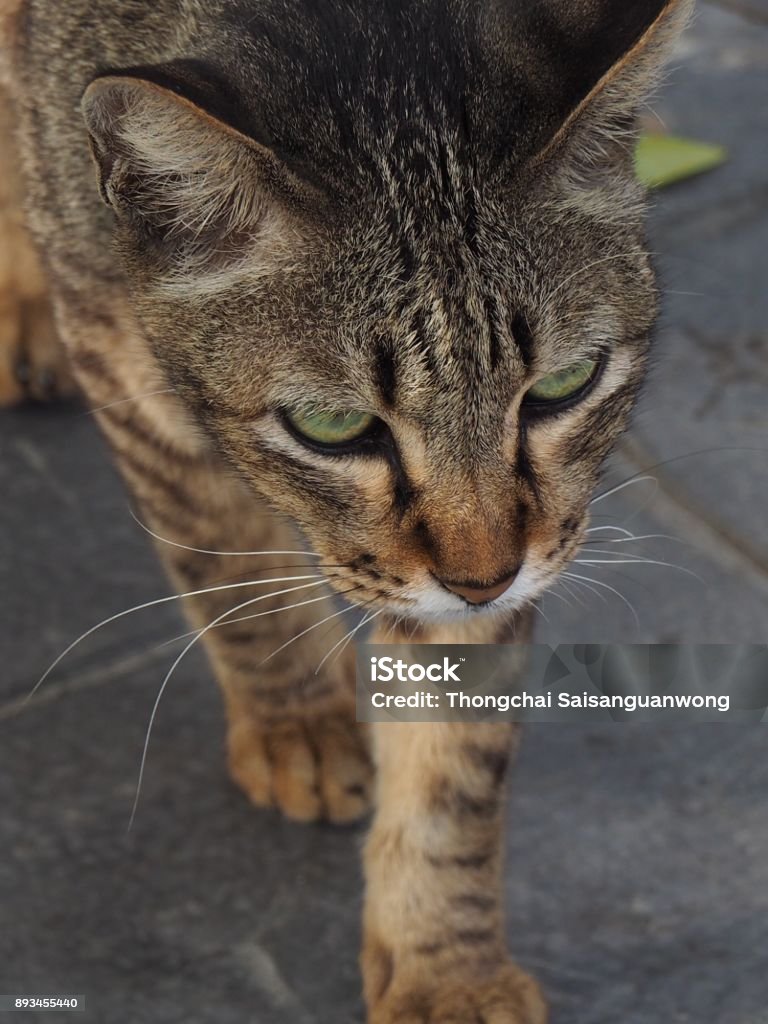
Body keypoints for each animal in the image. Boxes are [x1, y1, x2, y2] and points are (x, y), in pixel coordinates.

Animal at [0, 4, 696, 1019]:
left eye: (564, 386)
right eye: (333, 428)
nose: (484, 578)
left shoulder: (514, 551)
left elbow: (454, 765)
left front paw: (447, 968)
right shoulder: (125, 367)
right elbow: (231, 571)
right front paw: (298, 721)